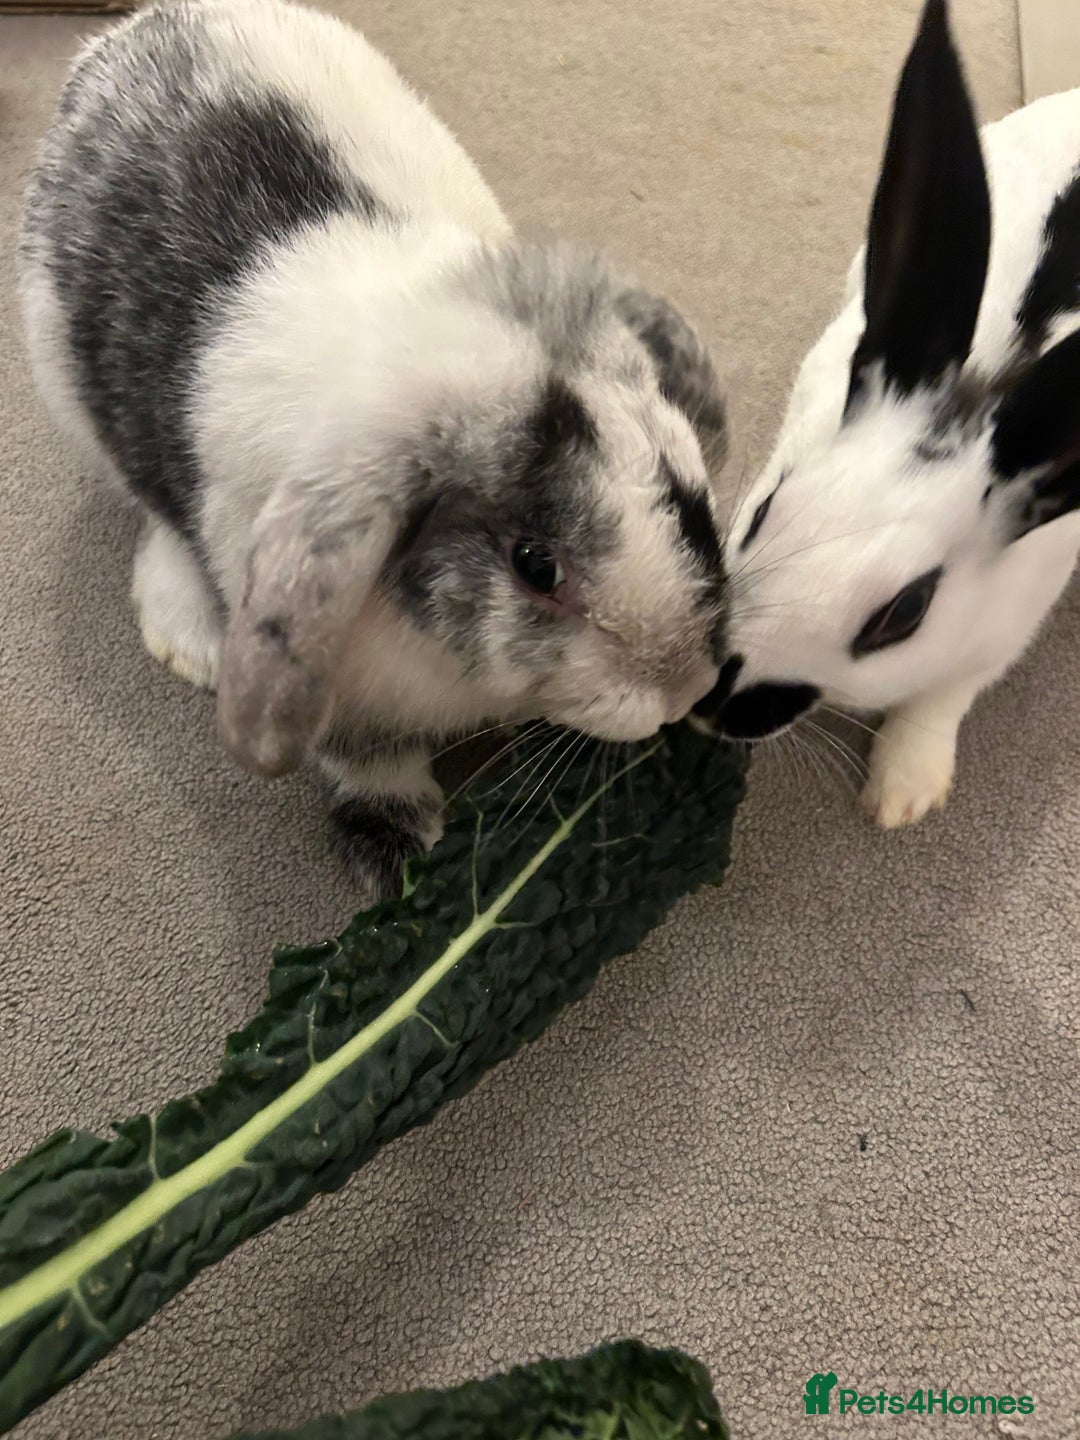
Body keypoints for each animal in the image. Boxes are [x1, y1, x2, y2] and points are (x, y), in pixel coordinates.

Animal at [19, 0, 730, 897]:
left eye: (688, 501)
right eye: (536, 565)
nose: (682, 690)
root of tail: (148, 23)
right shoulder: (340, 693)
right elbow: (372, 767)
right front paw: (402, 858)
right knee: (152, 517)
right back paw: (193, 639)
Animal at [702, 0, 1080, 828]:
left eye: (903, 614)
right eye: (765, 508)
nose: (712, 701)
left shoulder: (1001, 633)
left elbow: (941, 699)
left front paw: (903, 795)